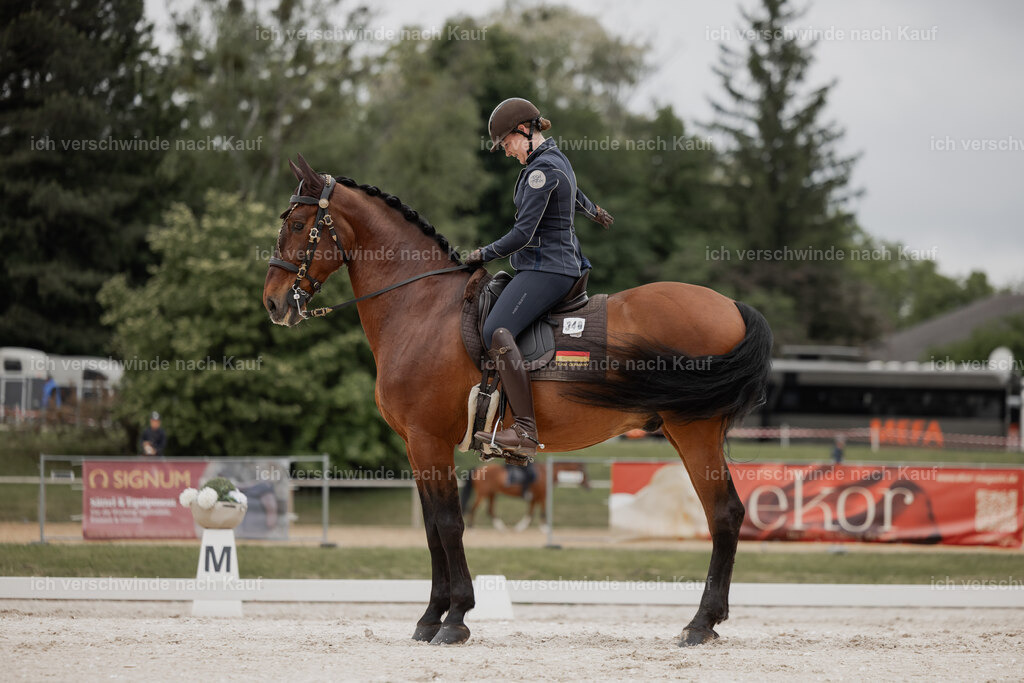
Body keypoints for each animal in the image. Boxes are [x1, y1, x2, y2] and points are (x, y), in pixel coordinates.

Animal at [460, 461, 590, 532]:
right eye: (584, 471)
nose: (589, 486)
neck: (545, 473)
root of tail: (478, 468)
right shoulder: (542, 496)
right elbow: (542, 512)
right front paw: (545, 529)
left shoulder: (535, 497)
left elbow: (530, 513)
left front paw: (520, 527)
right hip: (483, 494)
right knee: (473, 508)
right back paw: (472, 528)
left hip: (492, 494)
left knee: (490, 511)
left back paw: (501, 528)